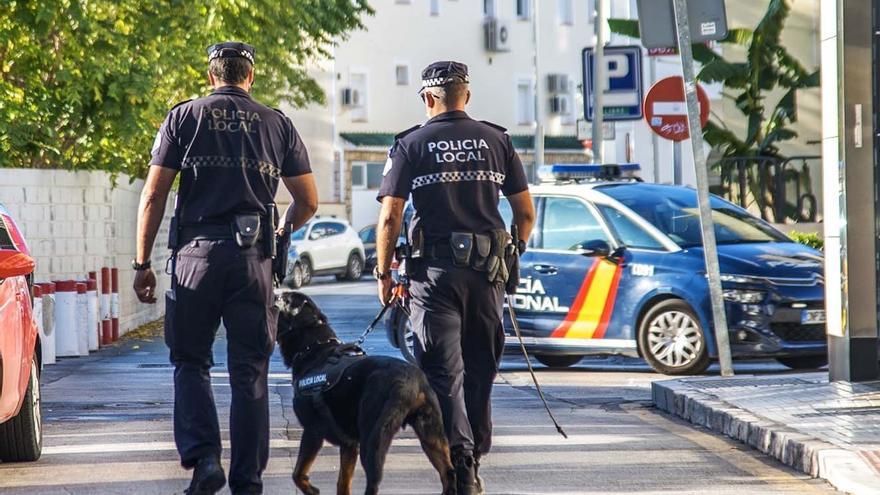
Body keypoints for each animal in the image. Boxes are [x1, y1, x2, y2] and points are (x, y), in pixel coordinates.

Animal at [276, 292, 454, 495]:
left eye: (280, 300)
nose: (273, 297)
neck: (314, 348)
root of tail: (412, 381)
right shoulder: (349, 444)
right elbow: (342, 484)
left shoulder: (312, 431)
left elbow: (298, 473)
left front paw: (311, 489)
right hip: (432, 434)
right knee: (448, 473)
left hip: (373, 437)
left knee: (374, 481)